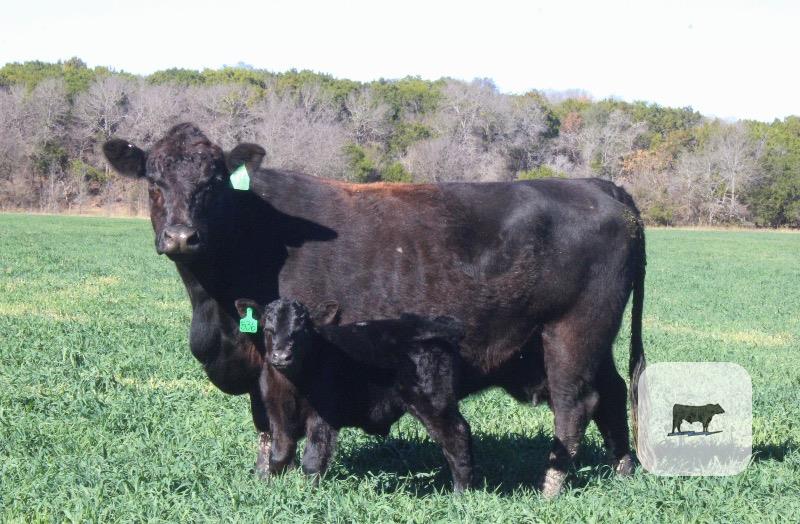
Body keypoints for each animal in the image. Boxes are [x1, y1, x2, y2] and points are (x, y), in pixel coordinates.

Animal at [234, 297, 473, 491]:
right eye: (268, 328)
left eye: (301, 331)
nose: (282, 356)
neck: (293, 385)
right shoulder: (277, 414)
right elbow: (279, 455)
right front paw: (274, 490)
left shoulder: (323, 414)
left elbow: (312, 460)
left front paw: (308, 495)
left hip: (433, 399)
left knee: (456, 435)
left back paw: (461, 493)